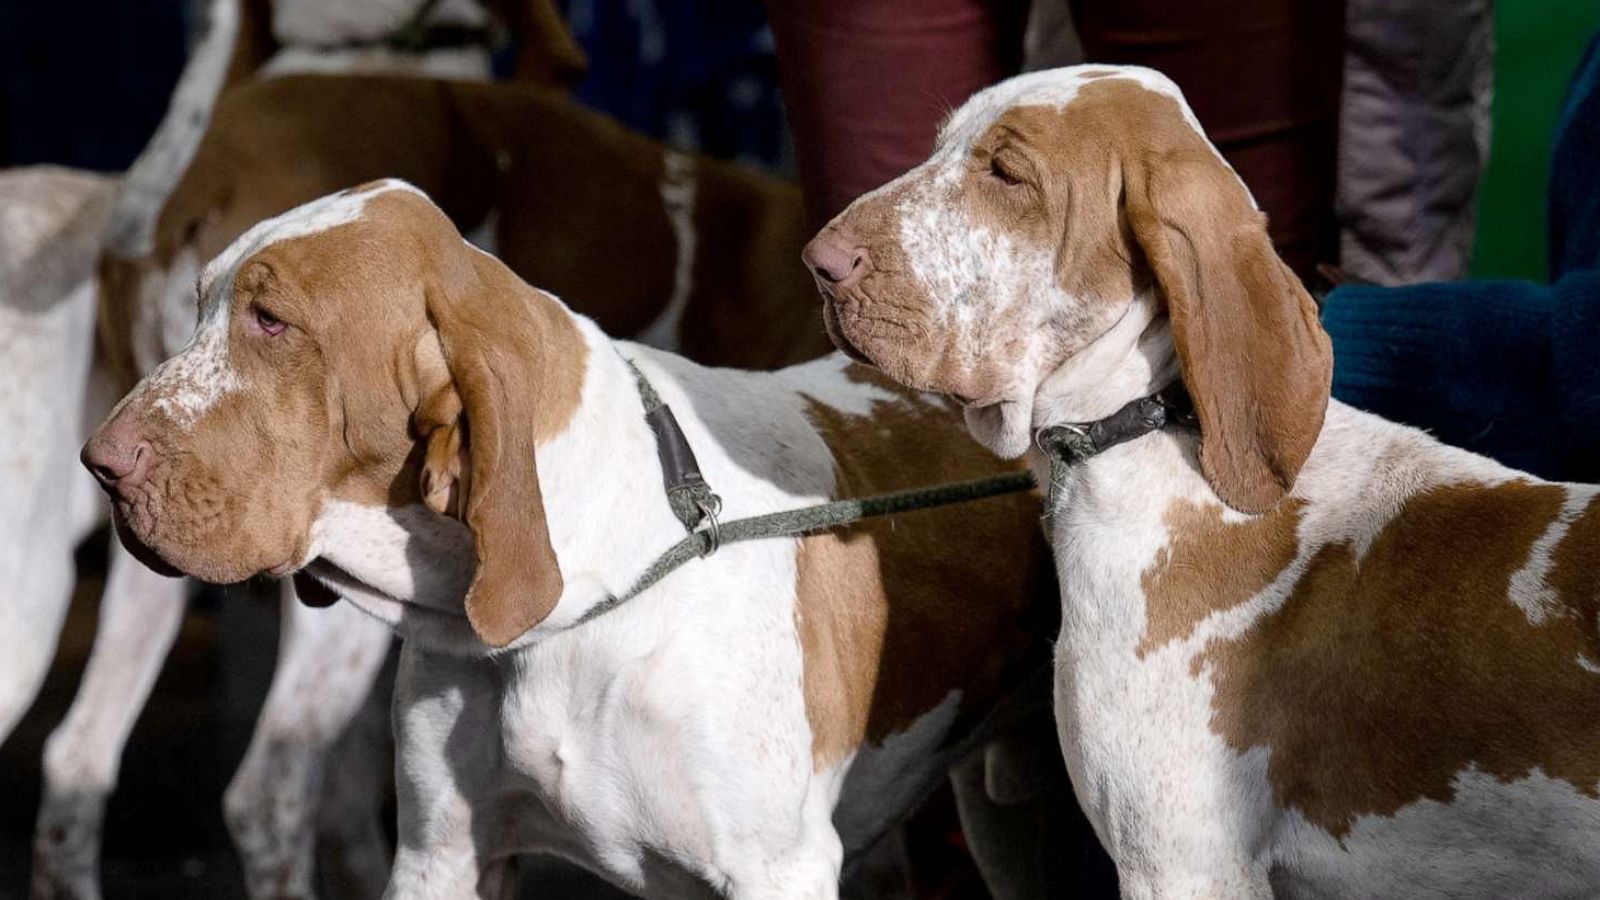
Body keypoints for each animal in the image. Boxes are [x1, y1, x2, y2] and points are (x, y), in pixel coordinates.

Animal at [81, 182, 1068, 896]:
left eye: (271, 321)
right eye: (199, 306)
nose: (100, 462)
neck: (584, 607)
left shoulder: (776, 870)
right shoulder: (440, 856)